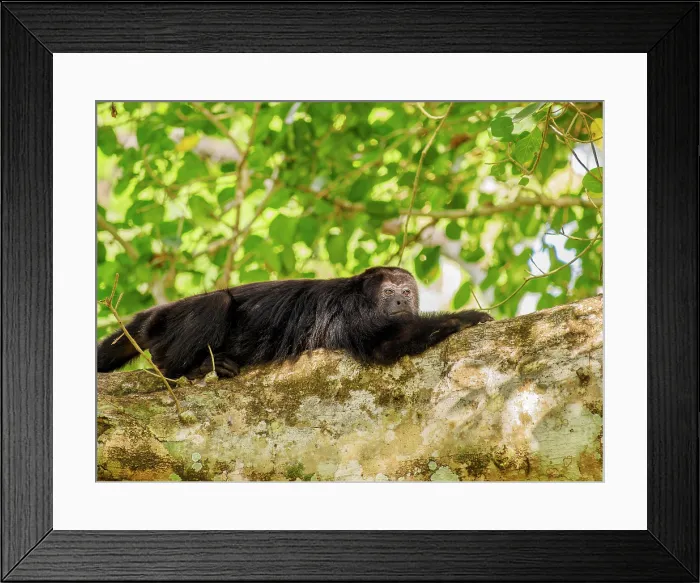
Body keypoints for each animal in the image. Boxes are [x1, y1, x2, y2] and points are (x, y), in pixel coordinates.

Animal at [97, 266, 493, 379]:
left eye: (407, 292)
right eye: (390, 292)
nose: (400, 301)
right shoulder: (351, 313)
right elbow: (383, 347)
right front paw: (464, 318)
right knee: (216, 303)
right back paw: (188, 371)